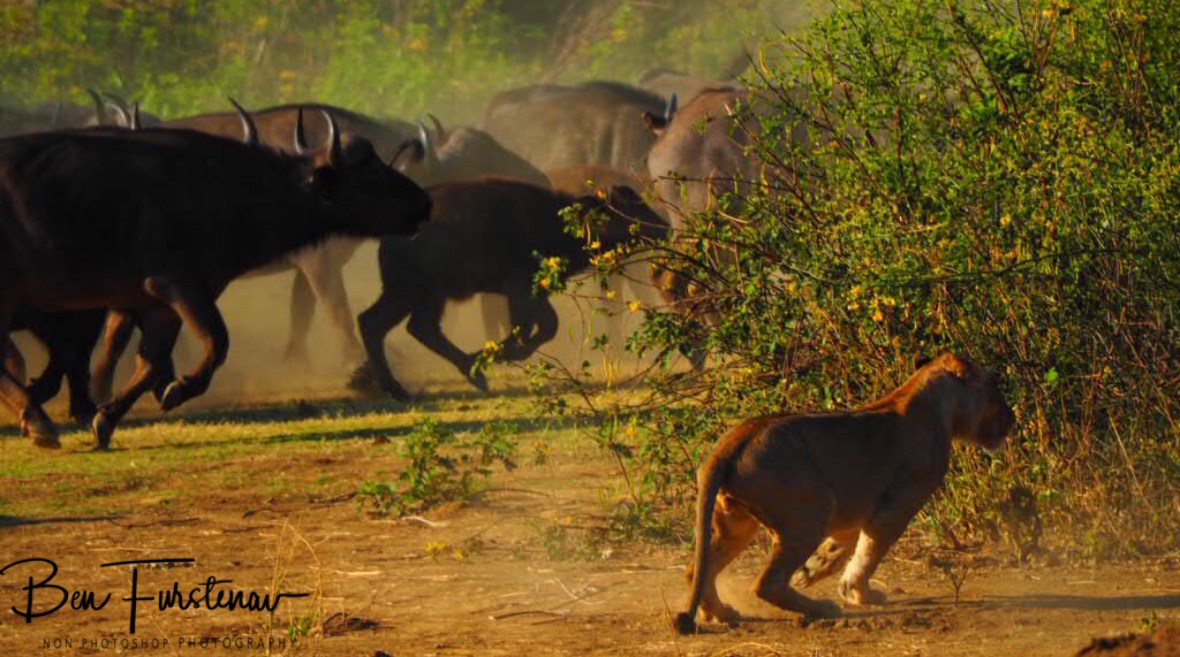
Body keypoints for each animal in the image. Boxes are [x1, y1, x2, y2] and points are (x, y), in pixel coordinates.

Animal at [0, 108, 431, 448]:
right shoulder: (179, 286)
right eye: (370, 169)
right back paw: (37, 420)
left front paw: (107, 418)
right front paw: (177, 390)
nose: (424, 201)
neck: (224, 189)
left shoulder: (155, 302)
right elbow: (217, 343)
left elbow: (150, 361)